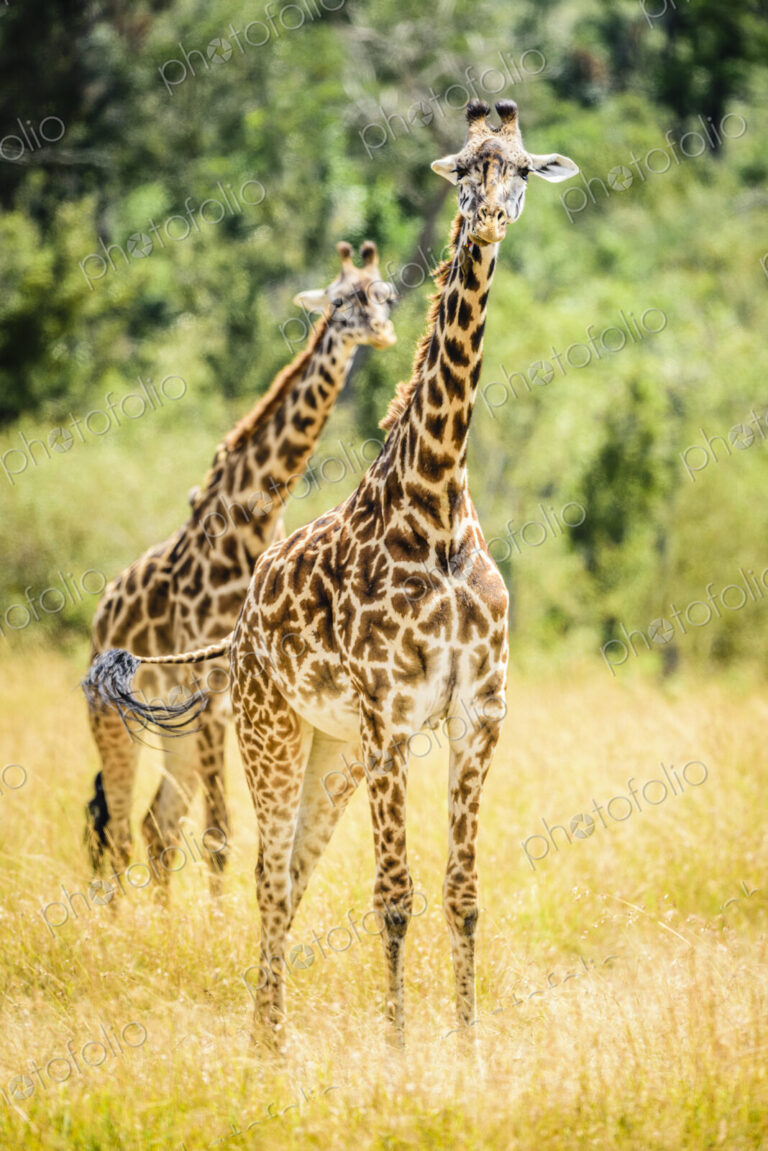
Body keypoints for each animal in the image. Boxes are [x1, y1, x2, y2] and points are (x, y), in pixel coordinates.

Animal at [84, 240, 397, 897]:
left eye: (384, 295)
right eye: (338, 300)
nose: (380, 333)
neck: (252, 517)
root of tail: (101, 613)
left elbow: (223, 832)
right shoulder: (214, 691)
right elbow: (221, 834)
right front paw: (219, 916)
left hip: (170, 727)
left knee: (154, 825)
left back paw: (160, 913)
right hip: (115, 721)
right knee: (118, 827)